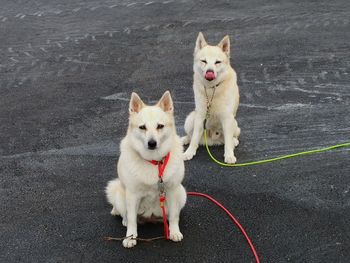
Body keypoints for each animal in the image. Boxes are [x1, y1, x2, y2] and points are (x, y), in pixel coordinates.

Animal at [106, 91, 186, 250]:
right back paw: (125, 221)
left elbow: (175, 215)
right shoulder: (132, 195)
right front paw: (130, 237)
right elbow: (132, 219)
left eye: (160, 126)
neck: (154, 161)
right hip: (120, 195)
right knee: (126, 214)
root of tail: (151, 216)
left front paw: (174, 232)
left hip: (182, 193)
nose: (152, 143)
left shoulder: (173, 191)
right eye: (142, 127)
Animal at [180, 32, 241, 164]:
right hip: (190, 119)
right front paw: (189, 153)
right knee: (191, 136)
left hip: (234, 123)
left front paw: (229, 155)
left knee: (229, 138)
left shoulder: (227, 118)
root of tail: (211, 141)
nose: (210, 72)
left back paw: (233, 142)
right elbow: (194, 139)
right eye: (204, 61)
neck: (212, 89)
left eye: (217, 62)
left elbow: (228, 141)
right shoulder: (200, 116)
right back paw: (184, 140)